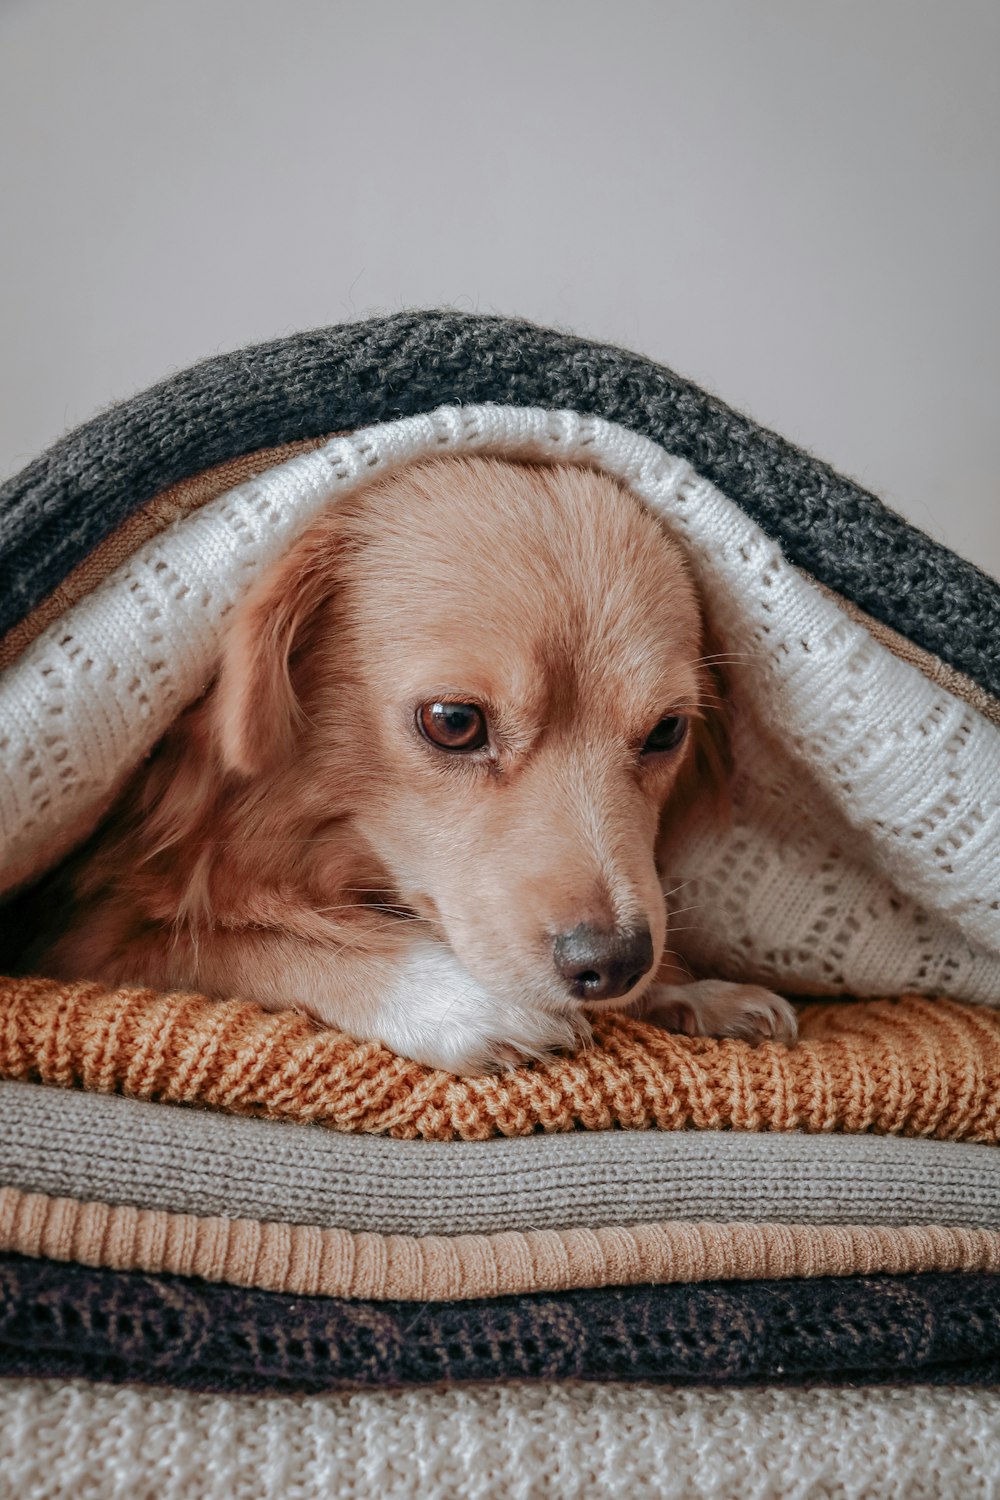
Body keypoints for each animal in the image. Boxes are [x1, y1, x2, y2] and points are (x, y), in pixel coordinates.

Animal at [31, 450, 797, 1074]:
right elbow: (244, 943)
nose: (612, 966)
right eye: (454, 723)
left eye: (667, 731)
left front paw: (689, 989)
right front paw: (457, 1001)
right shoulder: (88, 941)